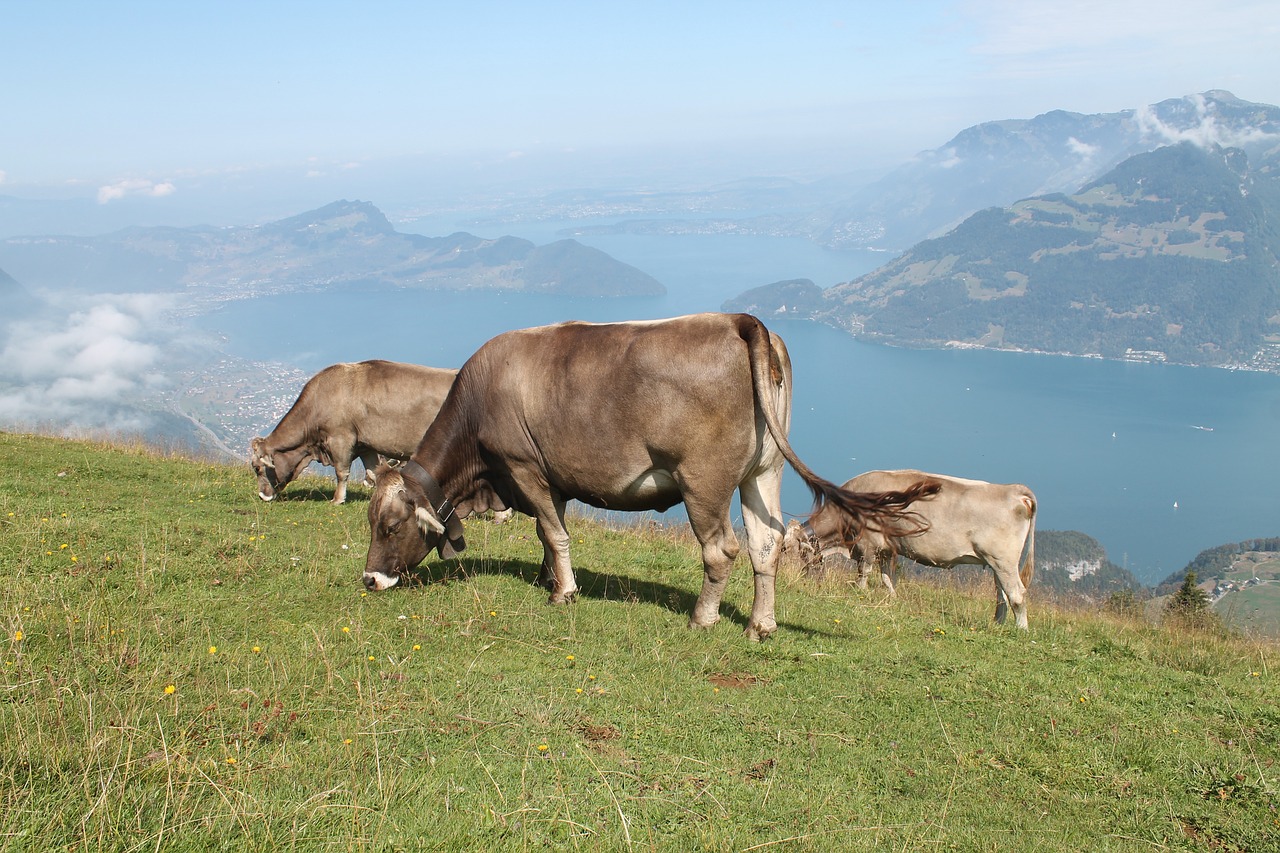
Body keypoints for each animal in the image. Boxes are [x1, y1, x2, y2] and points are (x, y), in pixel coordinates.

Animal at [248, 356, 455, 502]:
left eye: (257, 468)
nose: (262, 496)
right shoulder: (365, 445)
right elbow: (374, 472)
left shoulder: (341, 438)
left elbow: (341, 472)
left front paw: (337, 499)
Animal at [360, 312, 942, 637]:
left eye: (390, 526)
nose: (369, 579)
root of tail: (741, 320)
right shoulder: (552, 475)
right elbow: (550, 533)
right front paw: (550, 577)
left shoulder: (523, 467)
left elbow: (552, 531)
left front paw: (562, 593)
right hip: (764, 470)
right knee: (766, 543)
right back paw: (761, 625)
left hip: (702, 479)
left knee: (721, 550)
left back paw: (703, 619)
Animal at [778, 468, 1039, 627]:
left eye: (794, 551)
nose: (797, 578)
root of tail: (1015, 490)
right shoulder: (886, 549)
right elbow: (887, 578)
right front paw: (893, 599)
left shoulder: (867, 545)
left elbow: (864, 573)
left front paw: (860, 593)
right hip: (997, 564)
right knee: (1001, 595)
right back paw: (997, 624)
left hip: (1003, 560)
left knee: (1017, 594)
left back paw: (1021, 629)